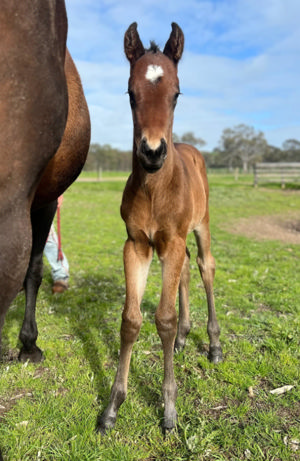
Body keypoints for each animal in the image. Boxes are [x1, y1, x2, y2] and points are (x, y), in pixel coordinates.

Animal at [98, 20, 223, 432]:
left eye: (177, 93)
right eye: (130, 93)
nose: (152, 152)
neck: (155, 189)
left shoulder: (170, 241)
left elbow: (163, 319)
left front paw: (168, 410)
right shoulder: (137, 244)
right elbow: (130, 320)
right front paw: (112, 407)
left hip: (200, 226)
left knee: (204, 266)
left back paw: (214, 345)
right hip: (176, 241)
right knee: (184, 273)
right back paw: (185, 338)